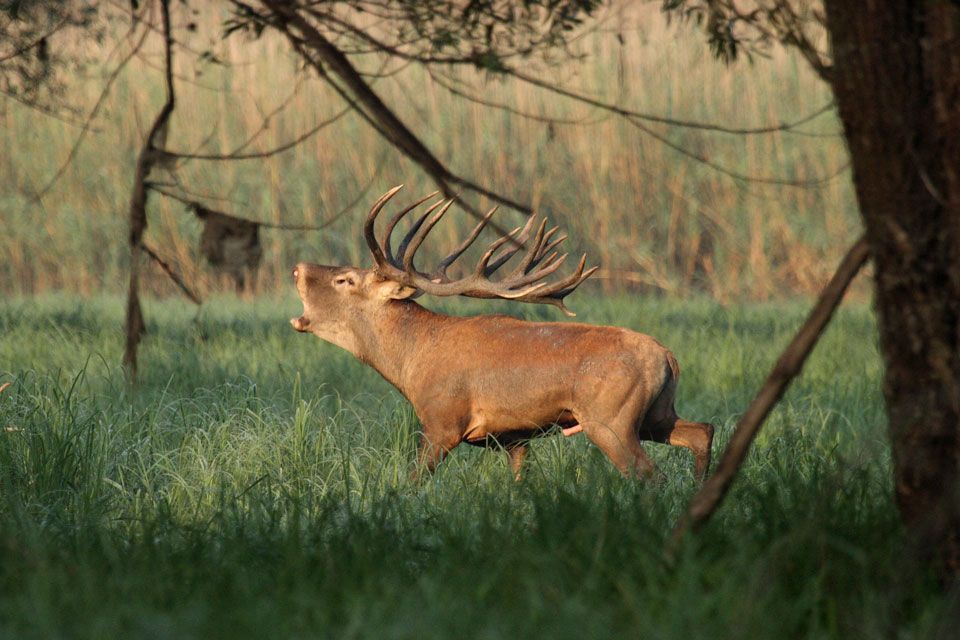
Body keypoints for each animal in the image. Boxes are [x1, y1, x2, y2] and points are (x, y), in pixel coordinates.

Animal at [291, 186, 715, 481]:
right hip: (655, 414)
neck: (411, 363)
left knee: (651, 475)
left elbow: (411, 481)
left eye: (346, 279)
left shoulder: (442, 419)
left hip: (611, 418)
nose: (298, 268)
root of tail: (669, 358)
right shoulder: (514, 437)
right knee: (703, 431)